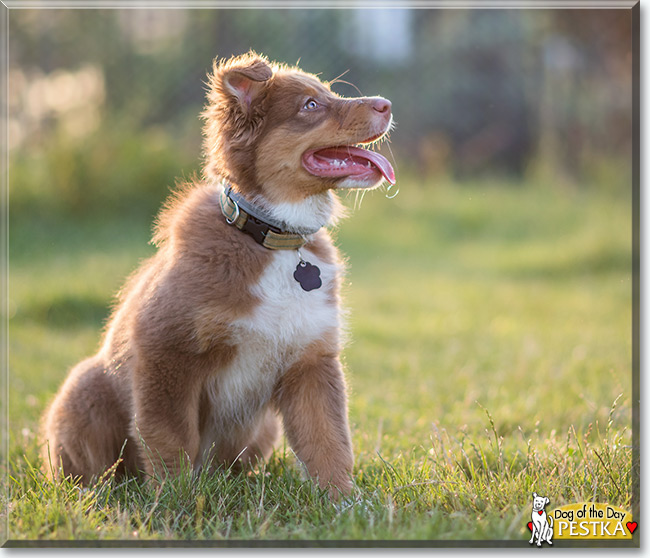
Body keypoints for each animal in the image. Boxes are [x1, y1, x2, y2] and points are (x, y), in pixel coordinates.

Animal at [41, 51, 394, 498]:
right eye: (310, 105)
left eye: (328, 94)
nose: (387, 104)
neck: (274, 239)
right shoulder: (165, 353)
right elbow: (170, 438)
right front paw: (176, 499)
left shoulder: (310, 361)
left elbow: (328, 440)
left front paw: (343, 502)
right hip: (82, 387)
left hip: (262, 428)